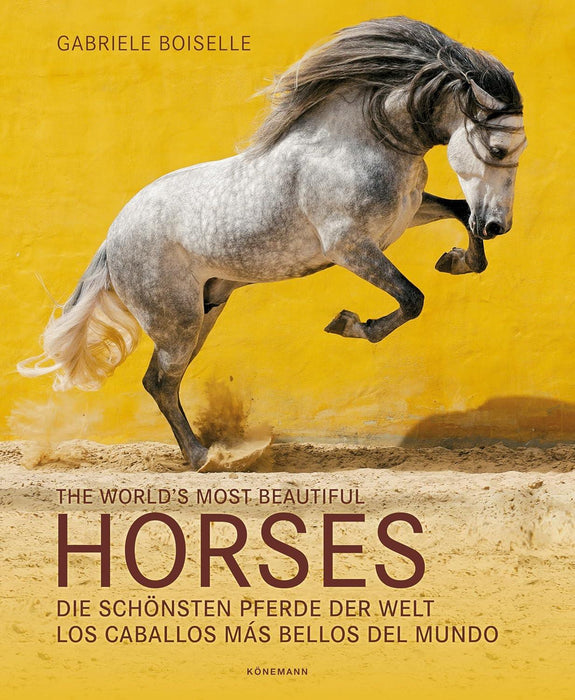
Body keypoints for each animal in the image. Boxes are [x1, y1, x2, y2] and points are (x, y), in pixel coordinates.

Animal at [18, 17, 527, 470]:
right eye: (498, 150)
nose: (499, 226)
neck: (363, 141)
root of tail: (113, 238)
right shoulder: (350, 246)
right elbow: (412, 298)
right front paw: (349, 324)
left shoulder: (404, 217)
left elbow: (460, 216)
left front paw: (456, 260)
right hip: (177, 322)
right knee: (160, 381)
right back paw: (205, 458)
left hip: (206, 311)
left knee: (161, 382)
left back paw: (205, 454)